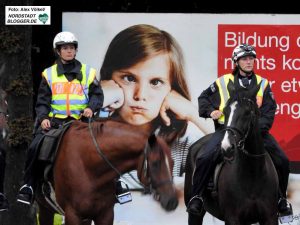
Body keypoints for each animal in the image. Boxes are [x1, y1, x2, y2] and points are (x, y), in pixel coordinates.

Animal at [37, 118, 178, 224]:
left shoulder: (105, 214)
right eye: (155, 163)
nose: (172, 202)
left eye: (173, 163)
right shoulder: (73, 215)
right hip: (45, 209)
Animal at [185, 82, 278, 225]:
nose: (227, 146)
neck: (252, 175)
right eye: (225, 111)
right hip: (195, 214)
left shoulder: (270, 217)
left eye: (247, 112)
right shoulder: (232, 218)